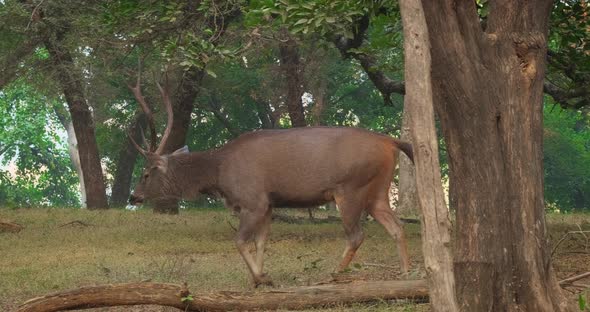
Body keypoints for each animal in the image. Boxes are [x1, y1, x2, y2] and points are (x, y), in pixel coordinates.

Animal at [128, 69, 416, 286]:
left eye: (145, 173)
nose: (133, 196)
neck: (220, 173)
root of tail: (391, 141)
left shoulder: (253, 200)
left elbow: (240, 240)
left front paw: (260, 278)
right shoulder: (269, 204)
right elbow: (261, 243)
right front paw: (261, 276)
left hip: (350, 188)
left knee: (357, 234)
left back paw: (334, 273)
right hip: (377, 189)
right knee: (397, 226)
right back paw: (405, 272)